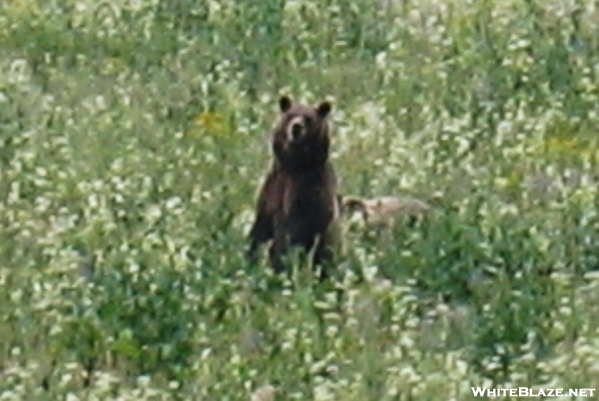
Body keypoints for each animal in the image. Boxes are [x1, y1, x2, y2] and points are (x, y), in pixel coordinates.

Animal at [247, 95, 342, 280]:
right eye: (291, 115)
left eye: (309, 118)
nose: (297, 127)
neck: (295, 166)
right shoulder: (274, 185)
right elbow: (261, 225)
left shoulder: (308, 191)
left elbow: (293, 230)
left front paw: (277, 261)